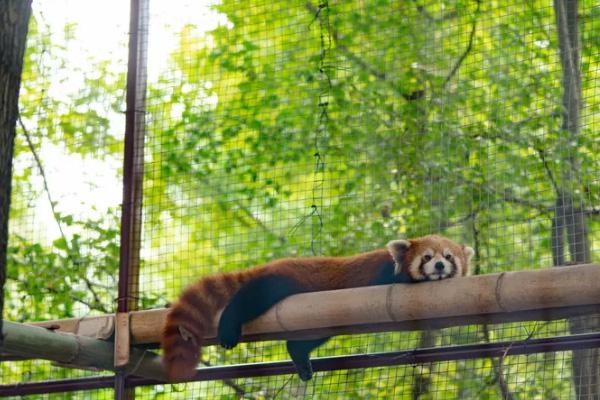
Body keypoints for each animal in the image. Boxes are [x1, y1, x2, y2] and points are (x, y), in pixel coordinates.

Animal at [161, 234, 474, 382]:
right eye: (427, 257)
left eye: (449, 257)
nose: (439, 266)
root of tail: (276, 263)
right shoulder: (383, 274)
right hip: (279, 283)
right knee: (247, 300)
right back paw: (229, 326)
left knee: (307, 338)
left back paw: (299, 356)